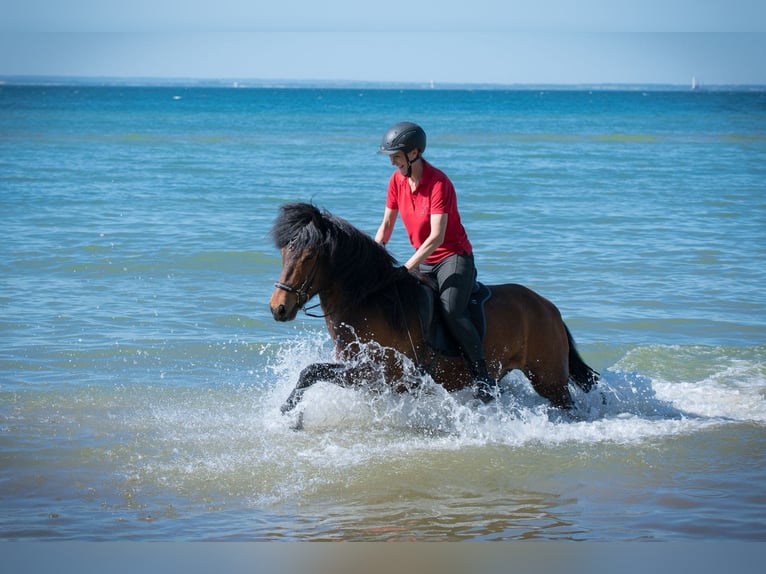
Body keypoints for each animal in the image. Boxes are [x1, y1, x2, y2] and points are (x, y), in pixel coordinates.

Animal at [270, 205, 600, 416]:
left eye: (309, 256)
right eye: (284, 252)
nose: (278, 308)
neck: (370, 302)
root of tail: (549, 307)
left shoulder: (381, 374)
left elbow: (312, 371)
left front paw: (289, 412)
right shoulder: (364, 374)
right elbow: (312, 371)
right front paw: (290, 412)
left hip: (549, 379)